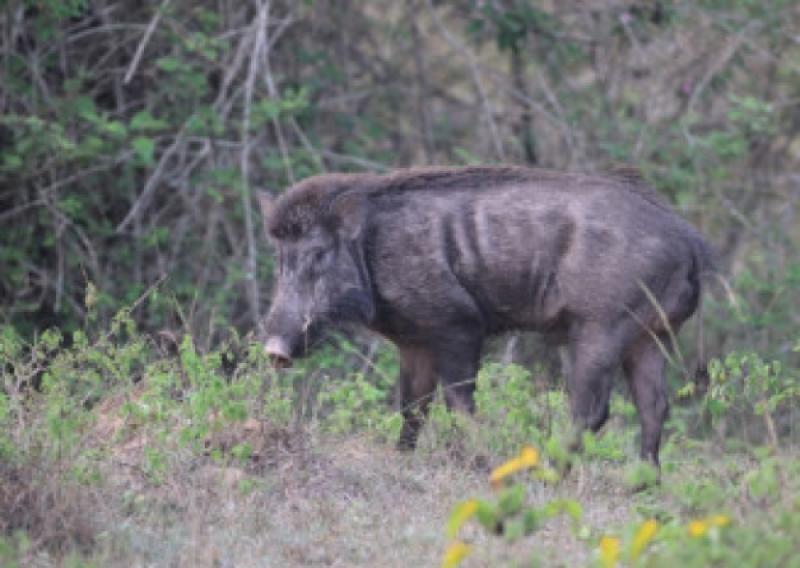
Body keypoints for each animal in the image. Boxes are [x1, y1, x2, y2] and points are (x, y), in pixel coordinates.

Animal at [258, 166, 714, 465]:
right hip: (652, 334)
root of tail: (690, 240)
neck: (373, 249)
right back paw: (644, 483)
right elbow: (412, 406)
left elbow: (460, 403)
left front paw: (479, 461)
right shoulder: (413, 341)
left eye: (318, 254)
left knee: (592, 410)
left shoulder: (457, 324)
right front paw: (401, 458)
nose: (273, 351)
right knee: (654, 406)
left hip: (601, 326)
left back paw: (551, 470)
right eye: (279, 258)